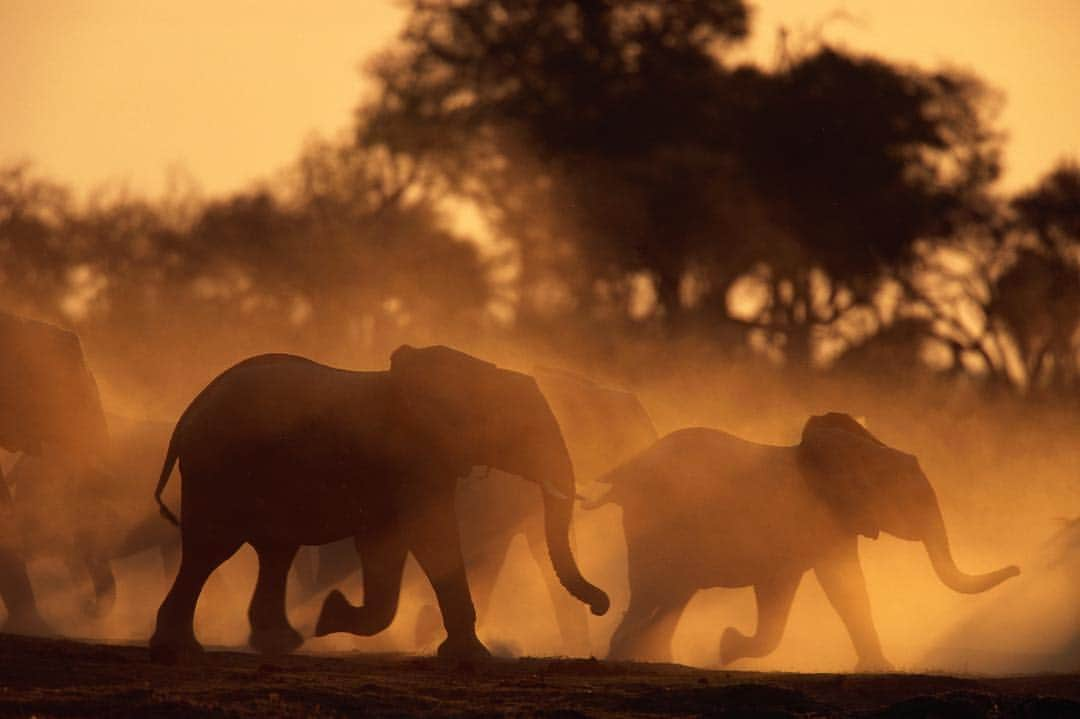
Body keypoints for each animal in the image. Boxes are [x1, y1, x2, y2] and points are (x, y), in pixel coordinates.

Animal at [147, 345, 613, 656]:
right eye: (525, 431)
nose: (601, 605)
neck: (473, 370)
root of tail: (187, 416)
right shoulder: (414, 460)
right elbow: (432, 538)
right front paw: (472, 658)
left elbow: (383, 545)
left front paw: (330, 616)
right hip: (218, 471)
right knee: (211, 550)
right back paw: (180, 649)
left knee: (275, 552)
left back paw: (281, 641)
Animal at [591, 412, 1019, 669]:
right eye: (912, 501)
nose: (1017, 567)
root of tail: (624, 472)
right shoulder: (797, 522)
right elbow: (803, 587)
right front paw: (726, 647)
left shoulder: (835, 523)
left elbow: (844, 586)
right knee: (653, 588)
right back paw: (627, 656)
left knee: (674, 593)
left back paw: (650, 657)